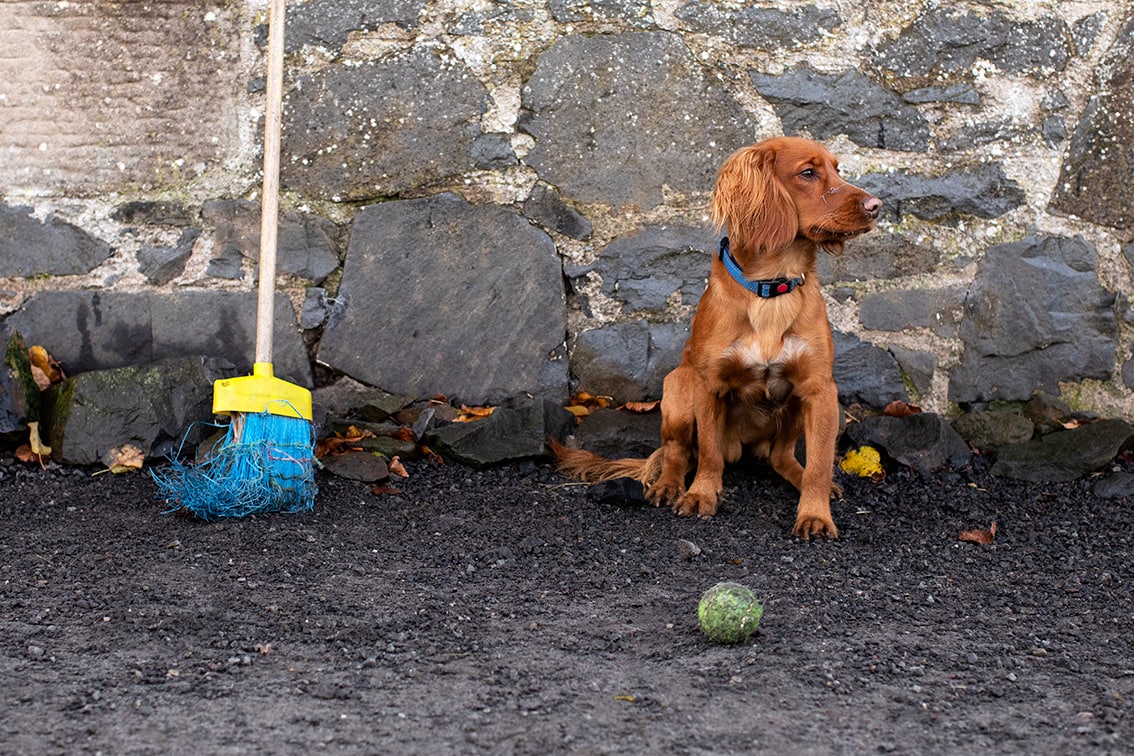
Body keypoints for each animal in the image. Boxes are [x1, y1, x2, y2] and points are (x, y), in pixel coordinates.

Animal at [553, 136, 879, 537]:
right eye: (807, 172)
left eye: (838, 169)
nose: (876, 206)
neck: (771, 288)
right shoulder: (709, 385)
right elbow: (708, 452)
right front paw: (701, 495)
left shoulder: (820, 390)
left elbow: (819, 462)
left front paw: (815, 514)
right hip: (678, 389)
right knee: (677, 452)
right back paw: (669, 485)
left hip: (813, 410)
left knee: (781, 456)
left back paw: (801, 478)